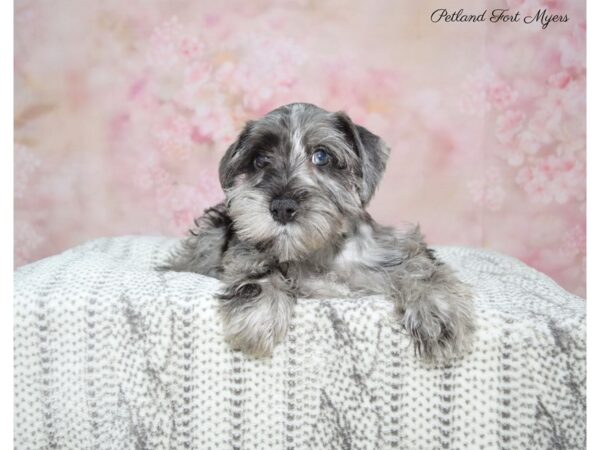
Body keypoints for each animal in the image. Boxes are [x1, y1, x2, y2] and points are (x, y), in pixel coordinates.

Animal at [162, 103, 476, 362]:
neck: (320, 251)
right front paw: (258, 315)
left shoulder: (397, 247)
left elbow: (421, 268)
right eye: (260, 160)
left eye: (322, 156)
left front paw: (438, 314)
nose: (282, 207)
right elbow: (258, 269)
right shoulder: (247, 250)